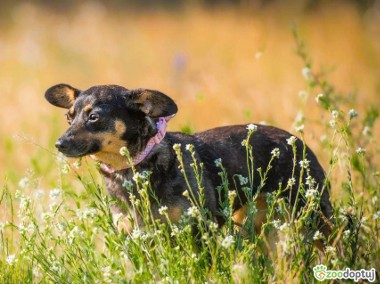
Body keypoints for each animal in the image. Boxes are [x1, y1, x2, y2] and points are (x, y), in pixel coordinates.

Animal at [45, 82, 332, 244]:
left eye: (93, 117)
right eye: (69, 117)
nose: (59, 144)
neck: (135, 169)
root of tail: (298, 142)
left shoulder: (201, 229)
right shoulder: (136, 237)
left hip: (316, 215)